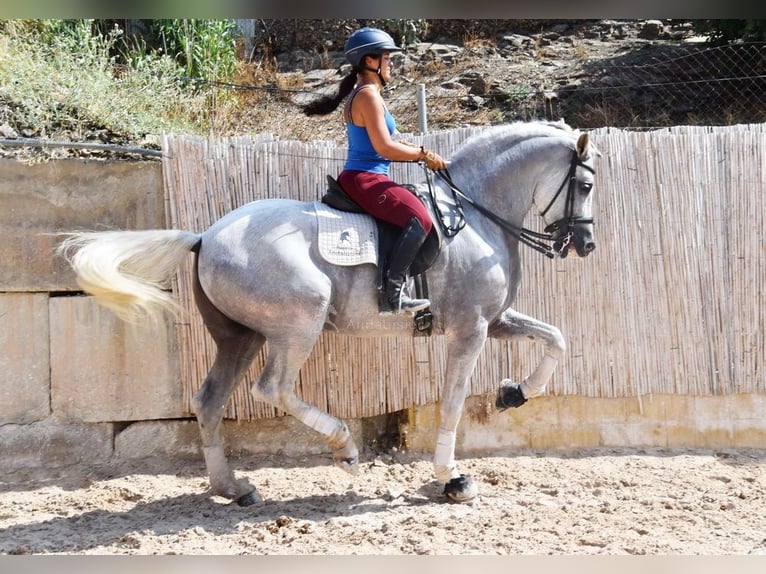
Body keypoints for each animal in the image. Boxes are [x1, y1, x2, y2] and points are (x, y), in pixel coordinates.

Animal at [57, 120, 599, 505]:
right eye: (587, 186)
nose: (586, 245)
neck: (475, 215)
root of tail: (205, 236)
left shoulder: (496, 320)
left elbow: (557, 337)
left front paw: (515, 393)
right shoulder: (471, 329)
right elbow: (452, 402)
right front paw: (452, 478)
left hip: (242, 336)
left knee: (210, 400)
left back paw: (233, 488)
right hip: (298, 324)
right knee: (271, 389)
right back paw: (344, 448)